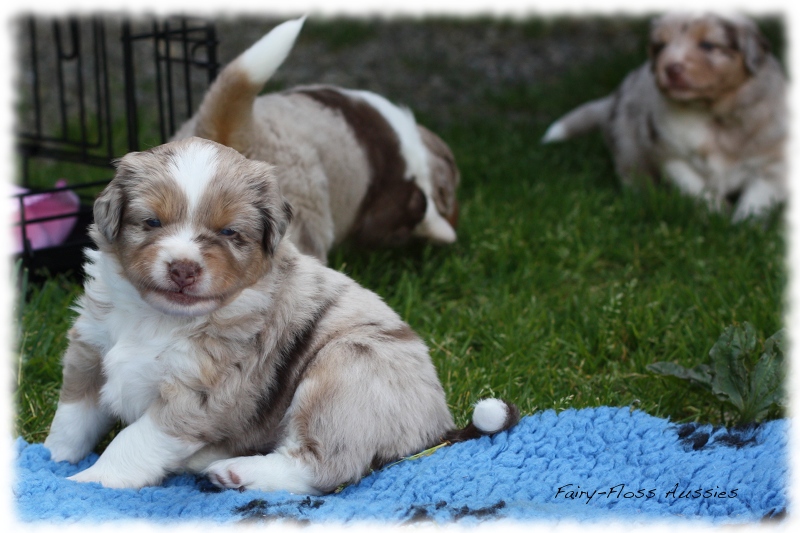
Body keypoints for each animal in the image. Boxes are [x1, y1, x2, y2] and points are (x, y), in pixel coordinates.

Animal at [42, 138, 520, 494]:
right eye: (152, 222)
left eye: (228, 232)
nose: (183, 269)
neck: (158, 317)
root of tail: (438, 423)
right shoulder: (90, 349)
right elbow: (72, 417)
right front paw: (52, 458)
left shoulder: (199, 394)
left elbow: (132, 440)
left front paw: (88, 481)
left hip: (343, 373)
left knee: (324, 467)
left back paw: (234, 472)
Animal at [540, 11, 784, 220]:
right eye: (660, 47)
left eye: (707, 44)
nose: (670, 68)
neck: (711, 113)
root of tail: (612, 99)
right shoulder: (670, 153)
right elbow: (695, 187)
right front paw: (715, 215)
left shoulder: (773, 164)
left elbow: (756, 200)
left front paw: (742, 225)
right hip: (627, 143)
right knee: (633, 173)